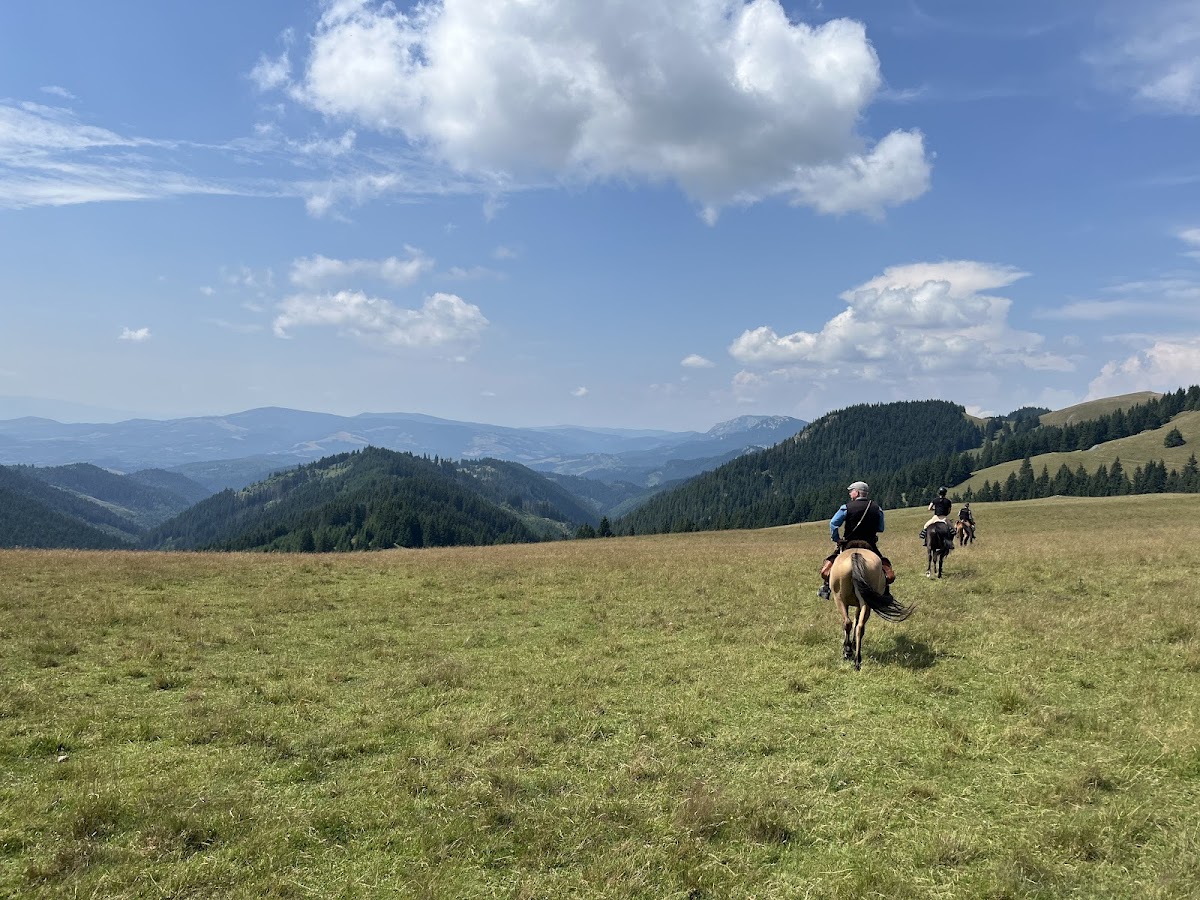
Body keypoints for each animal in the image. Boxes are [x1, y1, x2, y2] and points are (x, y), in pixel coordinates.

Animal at [828, 541, 914, 670]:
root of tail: (856, 554)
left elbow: (854, 620)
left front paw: (849, 646)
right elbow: (856, 620)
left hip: (840, 599)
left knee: (849, 623)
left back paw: (849, 652)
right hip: (859, 602)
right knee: (858, 626)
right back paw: (856, 660)